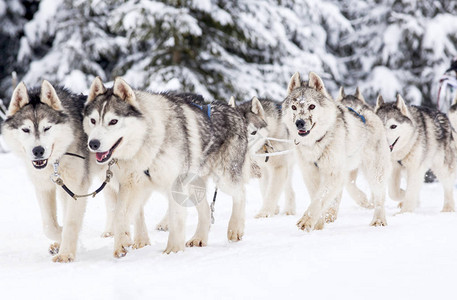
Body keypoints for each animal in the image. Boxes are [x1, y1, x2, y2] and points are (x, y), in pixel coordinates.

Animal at [1, 81, 89, 262]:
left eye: (47, 128)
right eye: (26, 130)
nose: (38, 150)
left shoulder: (77, 188)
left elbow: (70, 222)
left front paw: (65, 254)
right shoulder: (44, 187)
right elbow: (49, 226)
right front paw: (60, 240)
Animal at [82, 77, 246, 255]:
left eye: (113, 121)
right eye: (93, 121)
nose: (93, 144)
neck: (147, 141)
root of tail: (232, 110)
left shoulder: (174, 185)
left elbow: (175, 218)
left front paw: (173, 250)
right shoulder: (131, 185)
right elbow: (121, 215)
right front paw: (124, 244)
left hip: (224, 178)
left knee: (241, 193)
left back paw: (235, 228)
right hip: (194, 187)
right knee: (206, 210)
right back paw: (199, 237)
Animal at [282, 71, 388, 231]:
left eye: (312, 106)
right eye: (294, 107)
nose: (299, 123)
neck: (316, 142)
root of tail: (367, 112)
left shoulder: (333, 173)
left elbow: (319, 199)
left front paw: (307, 220)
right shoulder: (310, 173)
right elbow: (317, 197)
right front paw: (318, 224)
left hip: (374, 172)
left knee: (379, 197)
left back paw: (379, 220)